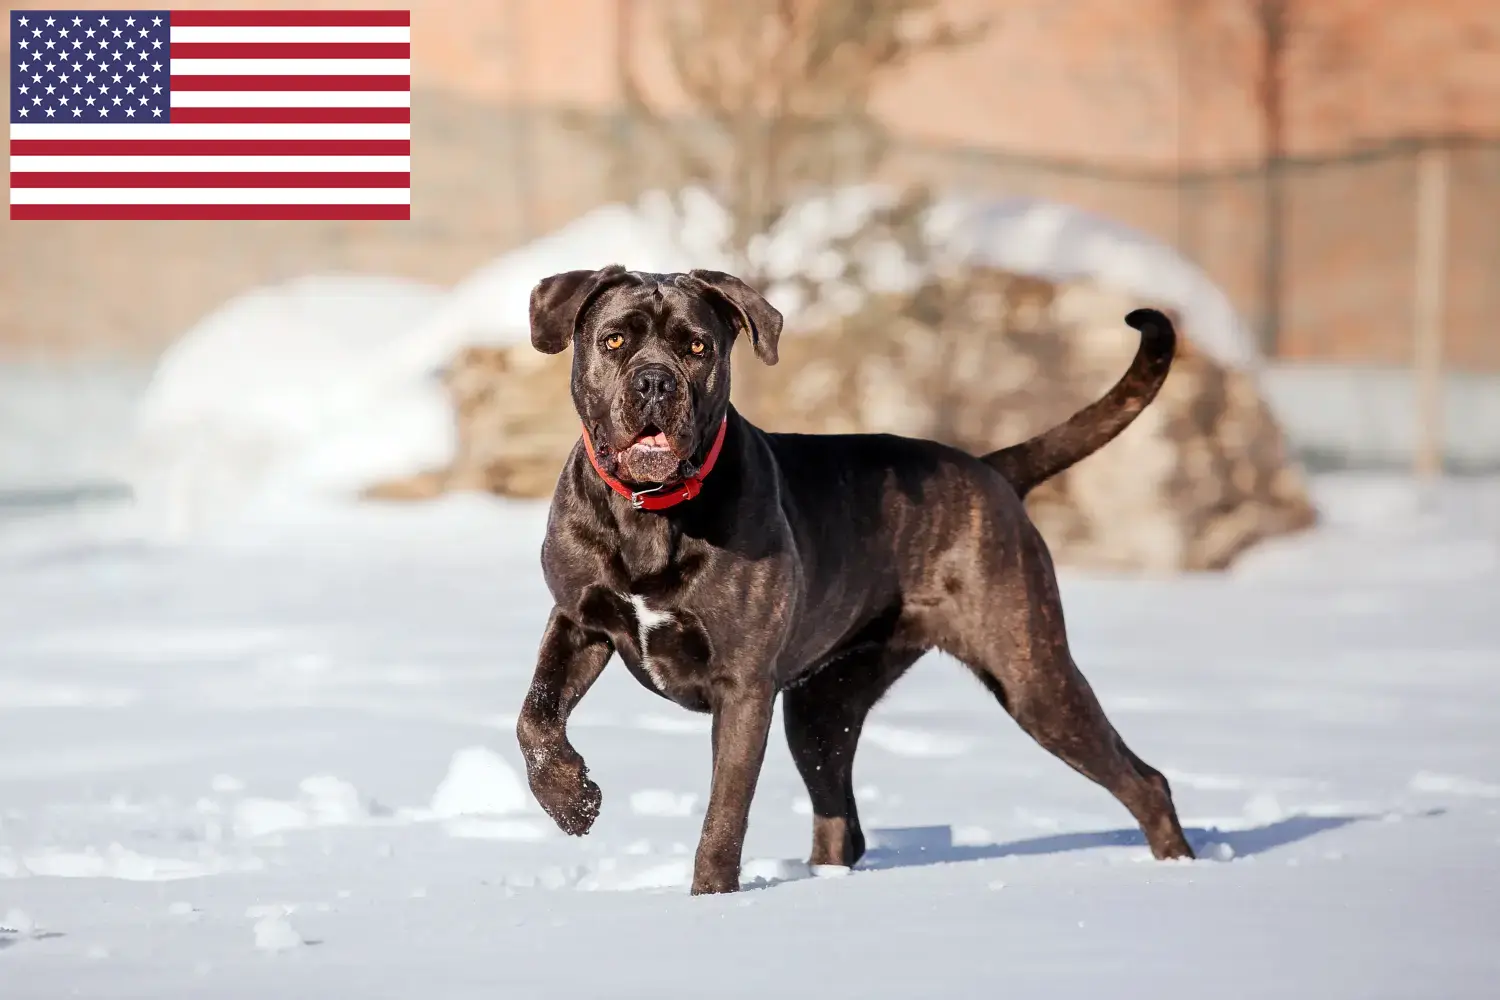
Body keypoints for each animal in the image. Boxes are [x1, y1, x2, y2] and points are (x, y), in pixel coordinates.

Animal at [516, 263, 1194, 893]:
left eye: (697, 347)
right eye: (613, 341)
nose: (655, 380)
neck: (649, 513)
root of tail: (991, 470)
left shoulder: (743, 686)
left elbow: (725, 812)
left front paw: (711, 897)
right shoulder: (577, 621)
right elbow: (535, 716)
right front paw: (573, 803)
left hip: (1031, 675)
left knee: (1145, 780)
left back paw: (1181, 867)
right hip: (823, 706)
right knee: (840, 818)